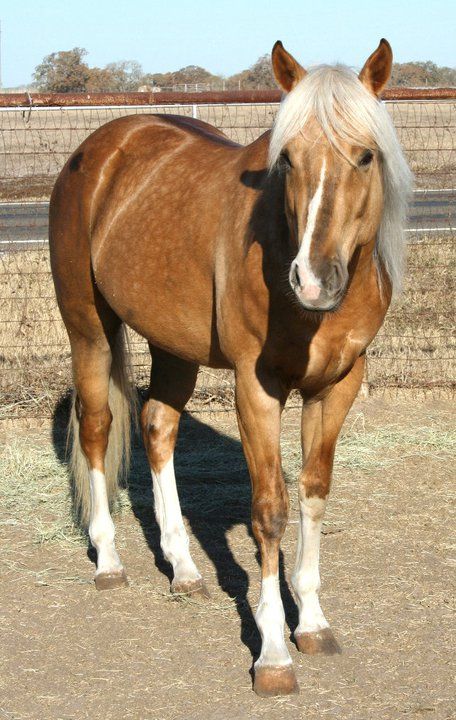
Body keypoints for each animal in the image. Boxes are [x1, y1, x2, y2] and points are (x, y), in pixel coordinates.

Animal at [50, 40, 414, 696]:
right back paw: (109, 560)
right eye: (287, 159)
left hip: (174, 343)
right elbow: (269, 512)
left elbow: (313, 495)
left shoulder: (338, 385)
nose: (313, 280)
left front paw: (312, 623)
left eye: (366, 156)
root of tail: (102, 145)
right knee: (95, 428)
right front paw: (273, 654)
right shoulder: (257, 388)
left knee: (157, 427)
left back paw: (184, 568)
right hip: (88, 328)